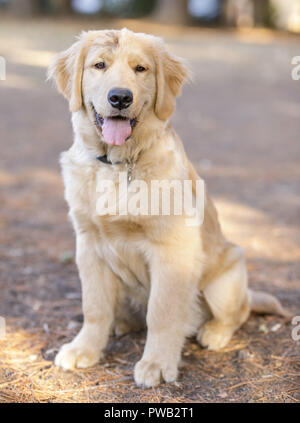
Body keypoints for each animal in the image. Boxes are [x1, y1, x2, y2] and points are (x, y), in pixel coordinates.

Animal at [48, 28, 288, 390]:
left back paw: (214, 332)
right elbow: (95, 307)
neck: (119, 164)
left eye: (141, 69)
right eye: (99, 65)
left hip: (225, 280)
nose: (120, 98)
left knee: (239, 310)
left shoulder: (172, 249)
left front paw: (157, 363)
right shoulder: (89, 243)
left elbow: (162, 312)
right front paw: (84, 349)